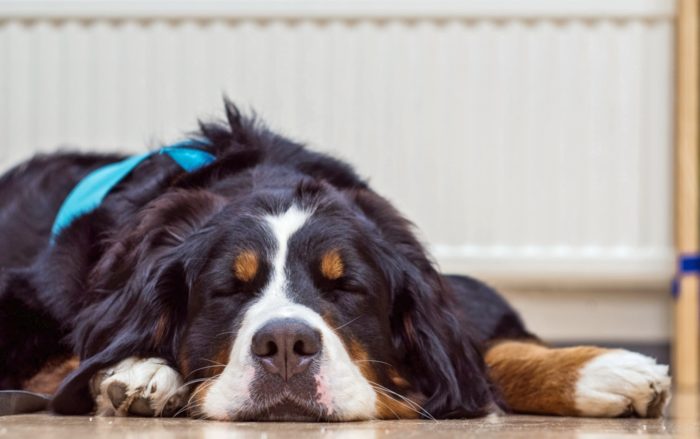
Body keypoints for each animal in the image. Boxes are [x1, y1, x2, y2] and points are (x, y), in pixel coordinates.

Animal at [0, 101, 668, 422]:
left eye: (346, 287)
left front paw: (605, 370)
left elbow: (485, 352)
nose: (285, 346)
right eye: (229, 290)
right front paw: (140, 371)